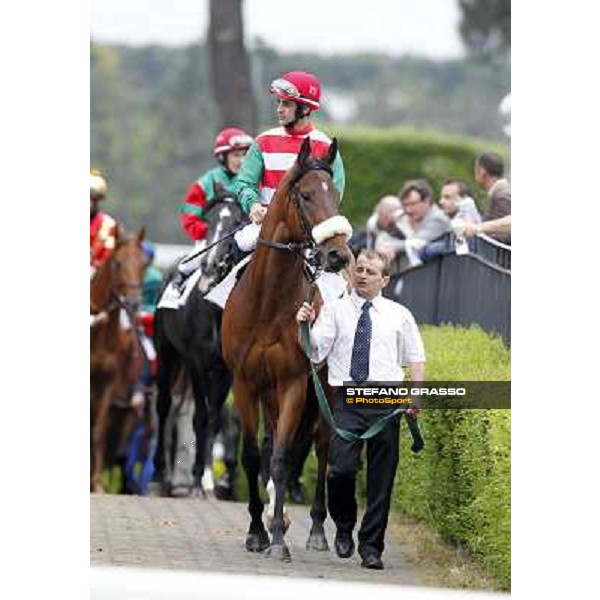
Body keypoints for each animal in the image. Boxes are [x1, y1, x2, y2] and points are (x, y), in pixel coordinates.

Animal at [155, 193, 248, 496]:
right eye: (207, 225)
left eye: (237, 222)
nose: (209, 266)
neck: (217, 309)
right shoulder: (197, 361)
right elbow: (201, 417)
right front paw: (197, 480)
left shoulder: (227, 370)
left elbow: (217, 418)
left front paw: (207, 478)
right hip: (167, 354)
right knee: (164, 407)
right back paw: (161, 475)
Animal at [221, 138, 354, 560]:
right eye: (307, 195)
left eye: (335, 196)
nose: (338, 255)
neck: (267, 302)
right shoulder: (245, 383)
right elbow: (253, 455)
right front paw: (256, 531)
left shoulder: (295, 382)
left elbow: (282, 459)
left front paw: (278, 536)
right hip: (269, 393)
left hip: (324, 389)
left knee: (323, 448)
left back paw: (317, 530)